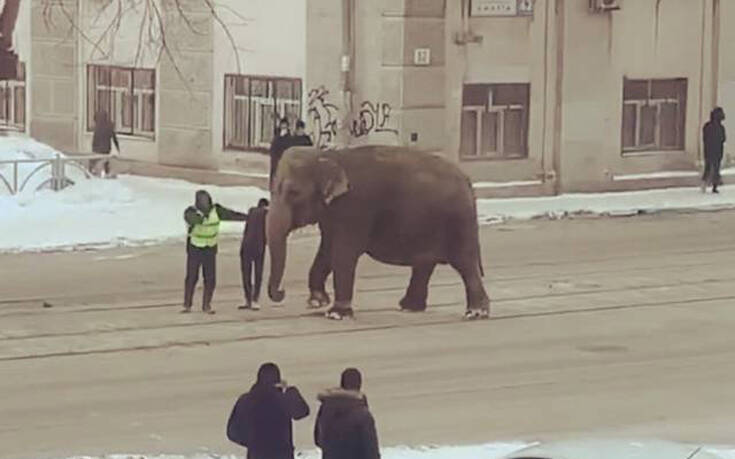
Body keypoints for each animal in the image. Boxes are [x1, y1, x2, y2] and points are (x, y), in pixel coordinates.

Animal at [268, 146, 492, 322]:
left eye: (293, 192)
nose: (282, 292)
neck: (329, 155)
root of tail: (468, 181)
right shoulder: (331, 214)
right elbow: (326, 251)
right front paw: (317, 302)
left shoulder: (356, 208)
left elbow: (344, 253)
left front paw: (336, 314)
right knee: (425, 264)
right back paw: (410, 307)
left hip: (459, 221)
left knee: (465, 263)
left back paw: (475, 313)